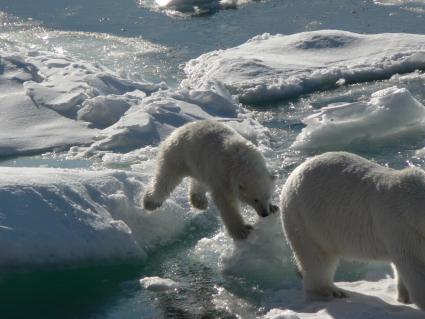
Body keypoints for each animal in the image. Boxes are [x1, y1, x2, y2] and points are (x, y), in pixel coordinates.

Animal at [142, 120, 278, 240]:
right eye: (255, 199)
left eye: (268, 196)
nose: (265, 213)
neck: (243, 162)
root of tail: (178, 129)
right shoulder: (223, 175)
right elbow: (226, 202)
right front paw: (242, 231)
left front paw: (274, 208)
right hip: (178, 154)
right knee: (166, 178)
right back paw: (150, 203)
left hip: (199, 164)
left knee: (199, 182)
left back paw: (199, 202)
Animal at [280, 152, 424, 310]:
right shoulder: (401, 225)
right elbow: (414, 264)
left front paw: (404, 297)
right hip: (306, 220)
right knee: (317, 259)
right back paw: (331, 292)